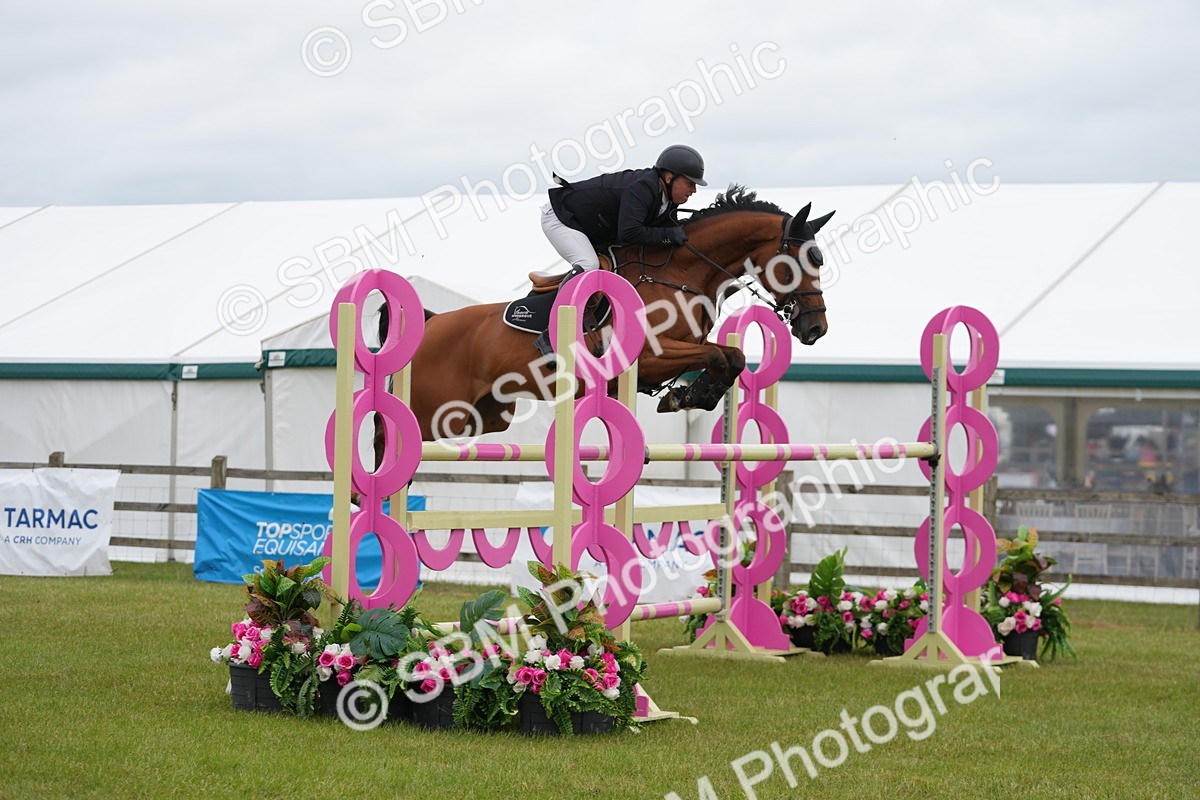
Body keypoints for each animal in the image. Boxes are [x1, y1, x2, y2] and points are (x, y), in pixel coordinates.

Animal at [387, 185, 834, 441]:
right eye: (797, 263)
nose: (816, 328)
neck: (682, 273)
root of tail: (432, 321)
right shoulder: (650, 358)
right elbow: (714, 354)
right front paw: (688, 395)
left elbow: (733, 356)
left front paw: (693, 395)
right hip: (434, 412)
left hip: (483, 415)